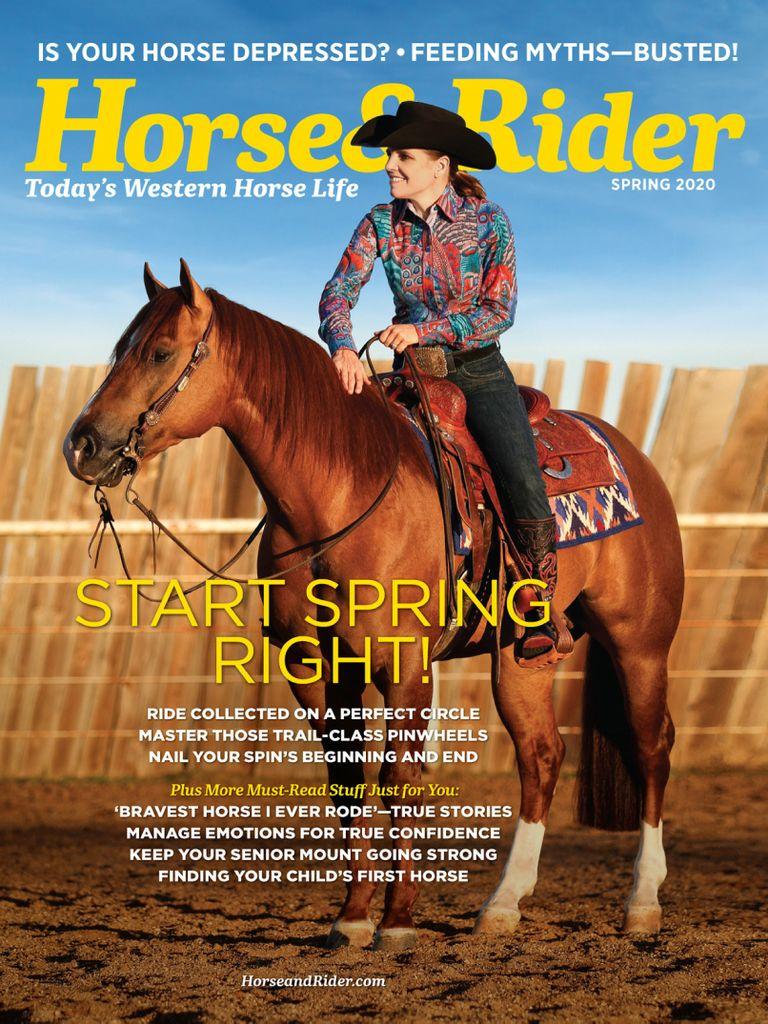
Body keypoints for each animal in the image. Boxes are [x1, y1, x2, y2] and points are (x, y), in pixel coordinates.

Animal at [63, 260, 684, 951]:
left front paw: (398, 922)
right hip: (523, 658)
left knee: (650, 746)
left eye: (161, 351)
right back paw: (503, 904)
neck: (339, 495)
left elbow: (401, 784)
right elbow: (348, 786)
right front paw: (354, 916)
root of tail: (632, 457)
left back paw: (642, 901)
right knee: (542, 756)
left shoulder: (405, 667)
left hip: (640, 643)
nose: (82, 445)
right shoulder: (316, 671)